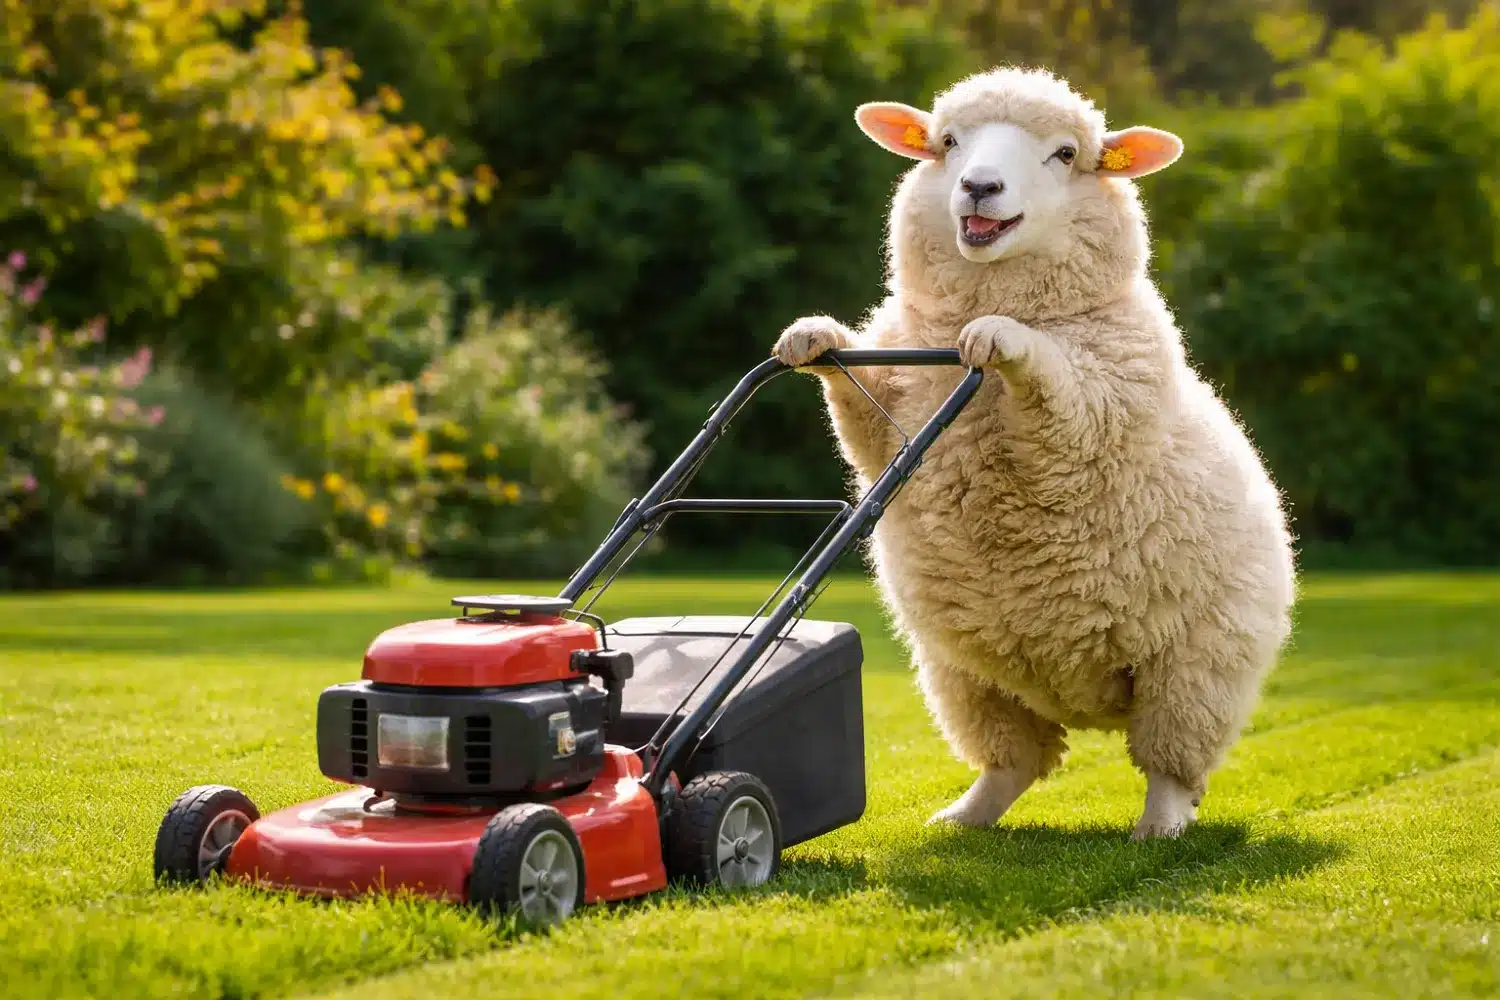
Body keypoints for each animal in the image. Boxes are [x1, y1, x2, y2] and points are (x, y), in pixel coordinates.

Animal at [773, 66, 1296, 839]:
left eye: (1065, 155)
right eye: (947, 143)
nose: (979, 186)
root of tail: (1086, 704)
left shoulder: (1097, 409)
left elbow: (1055, 394)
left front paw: (1004, 339)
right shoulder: (892, 410)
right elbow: (859, 415)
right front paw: (814, 336)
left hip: (1197, 667)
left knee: (1171, 759)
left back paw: (1160, 824)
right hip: (965, 673)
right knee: (1015, 761)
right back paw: (967, 815)